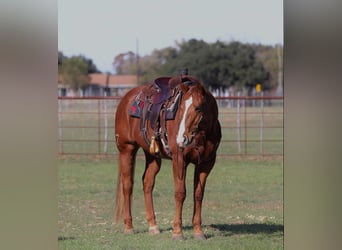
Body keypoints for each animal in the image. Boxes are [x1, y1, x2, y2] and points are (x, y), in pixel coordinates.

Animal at [114, 74, 222, 240]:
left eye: (198, 108)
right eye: (181, 108)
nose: (181, 139)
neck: (203, 134)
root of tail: (126, 99)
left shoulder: (206, 163)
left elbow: (198, 194)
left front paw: (198, 231)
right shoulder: (179, 160)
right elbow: (180, 193)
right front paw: (177, 232)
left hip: (152, 155)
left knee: (147, 183)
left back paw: (153, 226)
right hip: (127, 149)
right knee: (127, 185)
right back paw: (129, 226)